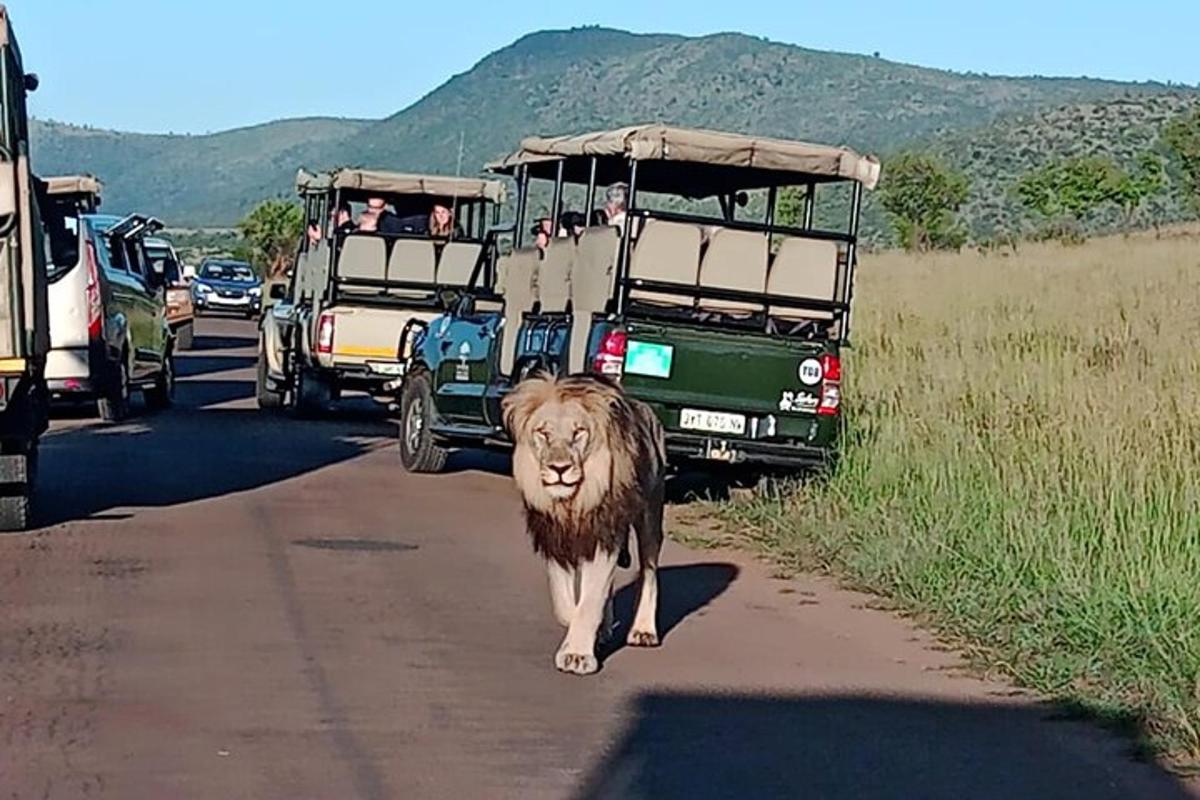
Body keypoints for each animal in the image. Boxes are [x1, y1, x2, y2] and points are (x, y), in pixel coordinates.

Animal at [499, 376, 667, 676]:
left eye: (578, 433)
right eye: (544, 433)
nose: (560, 468)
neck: (572, 502)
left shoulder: (604, 537)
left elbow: (589, 601)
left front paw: (577, 655)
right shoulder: (554, 539)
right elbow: (567, 604)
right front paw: (584, 633)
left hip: (650, 516)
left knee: (649, 572)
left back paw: (643, 631)